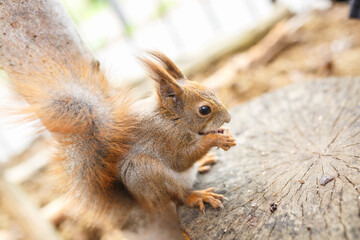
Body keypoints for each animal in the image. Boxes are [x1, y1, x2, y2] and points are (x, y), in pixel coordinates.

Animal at [9, 50, 235, 223]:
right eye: (204, 110)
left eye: (211, 90)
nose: (229, 118)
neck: (171, 118)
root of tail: (141, 201)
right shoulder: (165, 138)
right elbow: (180, 159)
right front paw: (215, 139)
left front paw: (224, 135)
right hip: (144, 172)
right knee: (178, 197)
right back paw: (197, 196)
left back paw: (203, 164)